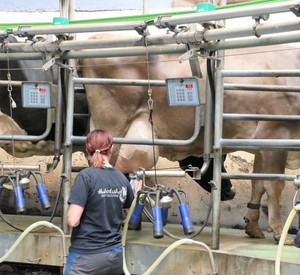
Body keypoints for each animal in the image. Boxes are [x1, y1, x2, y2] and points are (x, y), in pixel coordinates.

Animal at [79, 33, 300, 246]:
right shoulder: (276, 133)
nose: (231, 193)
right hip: (112, 125)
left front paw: (253, 226)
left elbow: (258, 184)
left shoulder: (262, 144)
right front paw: (281, 233)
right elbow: (274, 186)